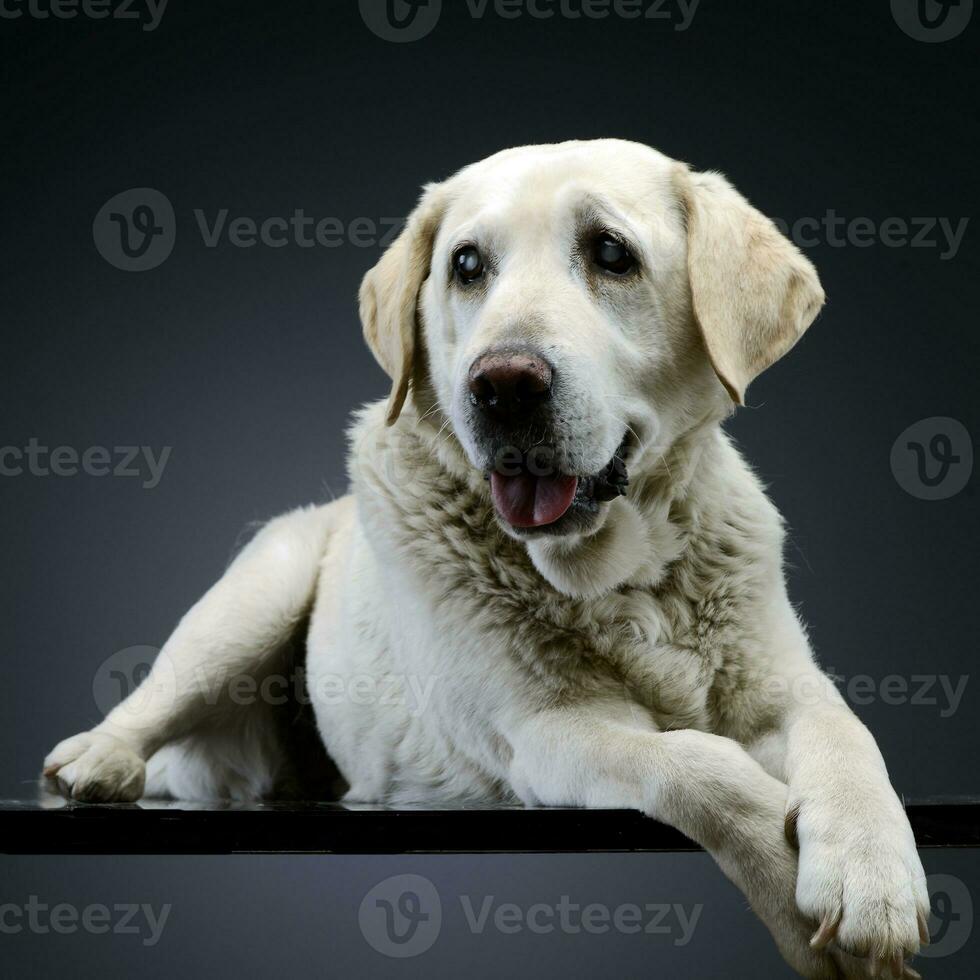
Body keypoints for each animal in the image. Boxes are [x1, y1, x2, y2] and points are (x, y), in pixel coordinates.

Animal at [46, 140, 932, 980]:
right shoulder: (547, 730)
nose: (504, 383)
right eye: (467, 265)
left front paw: (870, 877)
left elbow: (850, 740)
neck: (616, 577)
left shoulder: (783, 684)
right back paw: (96, 758)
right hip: (258, 592)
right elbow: (701, 766)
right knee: (156, 698)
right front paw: (788, 885)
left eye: (611, 252)